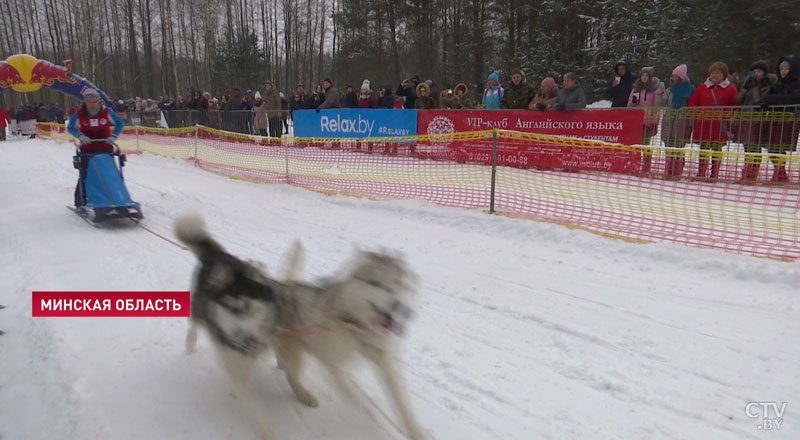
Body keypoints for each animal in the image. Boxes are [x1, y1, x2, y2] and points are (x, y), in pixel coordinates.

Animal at [175, 217, 424, 440]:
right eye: (376, 284)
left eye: (399, 285)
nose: (402, 308)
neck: (352, 322)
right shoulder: (330, 364)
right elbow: (357, 398)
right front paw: (373, 419)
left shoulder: (383, 361)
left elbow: (403, 405)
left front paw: (415, 431)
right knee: (197, 324)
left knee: (289, 371)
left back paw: (301, 391)